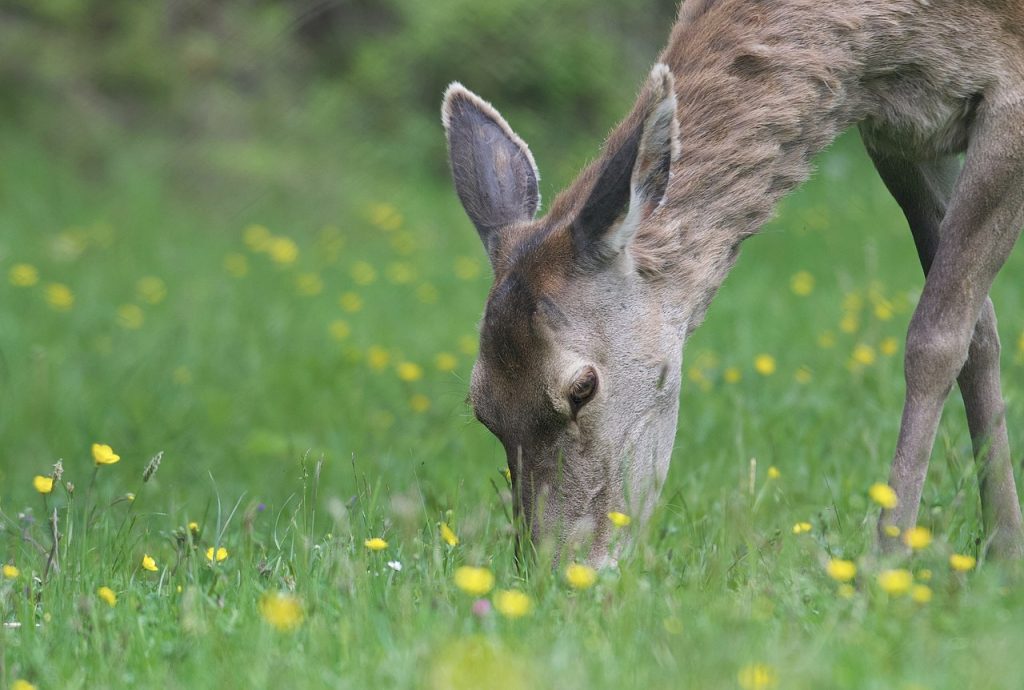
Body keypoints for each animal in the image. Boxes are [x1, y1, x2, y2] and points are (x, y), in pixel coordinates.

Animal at [441, 0, 1024, 566]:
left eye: (582, 387)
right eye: (480, 406)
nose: (558, 574)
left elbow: (935, 340)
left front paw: (888, 559)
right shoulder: (898, 136)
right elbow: (979, 335)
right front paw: (1002, 552)